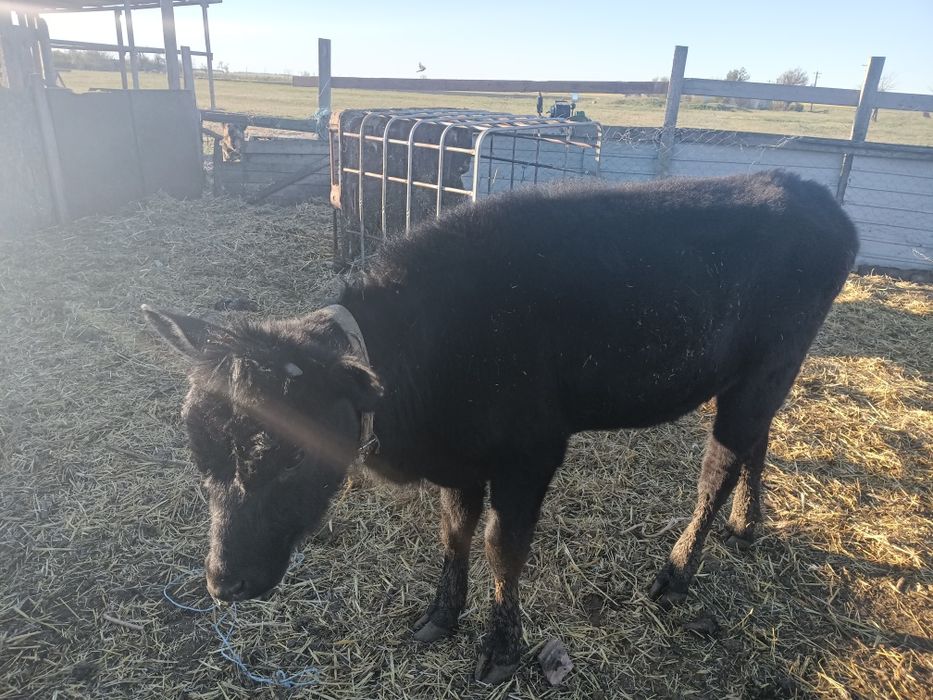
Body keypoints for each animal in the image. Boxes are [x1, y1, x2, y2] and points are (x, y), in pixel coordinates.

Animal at [144, 170, 858, 684]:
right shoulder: (462, 461)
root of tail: (810, 189)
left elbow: (500, 546)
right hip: (761, 376)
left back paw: (678, 571)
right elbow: (455, 531)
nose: (223, 582)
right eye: (198, 452)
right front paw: (440, 616)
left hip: (769, 366)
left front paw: (502, 648)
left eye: (290, 455)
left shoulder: (531, 452)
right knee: (757, 442)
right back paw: (746, 525)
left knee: (719, 464)